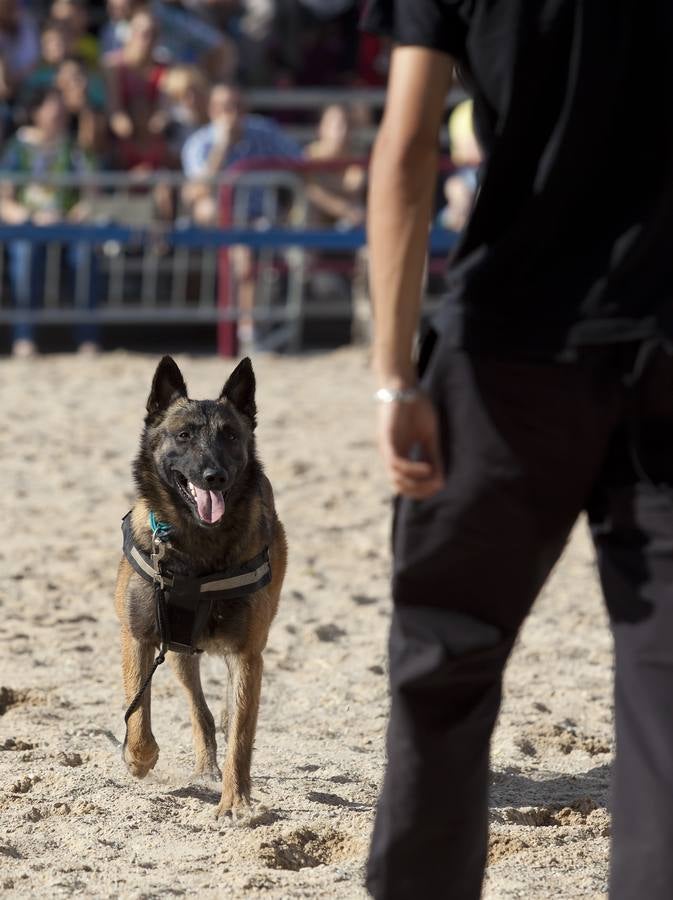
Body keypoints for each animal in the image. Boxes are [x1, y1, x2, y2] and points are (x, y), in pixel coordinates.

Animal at [113, 356, 286, 820]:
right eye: (184, 435)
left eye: (230, 435)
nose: (215, 476)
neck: (197, 544)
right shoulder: (140, 637)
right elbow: (138, 715)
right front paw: (139, 758)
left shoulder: (247, 653)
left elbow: (241, 737)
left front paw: (236, 800)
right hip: (177, 652)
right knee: (199, 710)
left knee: (227, 713)